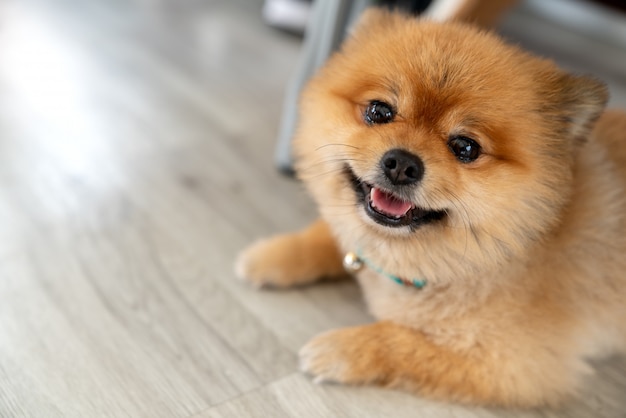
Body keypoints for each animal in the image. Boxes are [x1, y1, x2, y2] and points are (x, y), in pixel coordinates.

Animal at [235, 8, 624, 406]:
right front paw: (272, 255)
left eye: (465, 147)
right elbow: (332, 237)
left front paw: (341, 349)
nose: (402, 164)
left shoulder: (514, 364)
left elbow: (401, 341)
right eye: (379, 111)